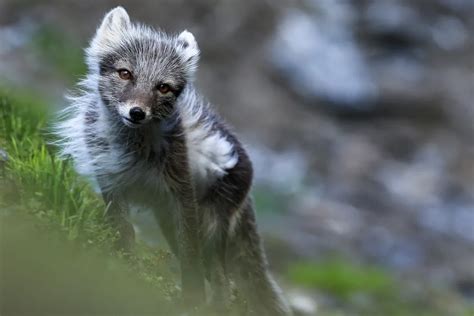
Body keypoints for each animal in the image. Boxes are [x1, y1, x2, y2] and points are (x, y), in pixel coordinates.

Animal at [57, 6, 290, 314]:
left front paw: (190, 299)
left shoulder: (182, 191)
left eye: (164, 88)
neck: (133, 151)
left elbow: (190, 258)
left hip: (211, 226)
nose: (137, 113)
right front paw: (124, 272)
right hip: (167, 219)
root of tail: (248, 166)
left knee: (222, 281)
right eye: (125, 73)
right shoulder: (110, 181)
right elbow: (124, 233)